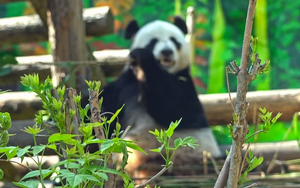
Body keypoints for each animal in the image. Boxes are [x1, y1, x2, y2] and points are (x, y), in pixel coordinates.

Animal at [99, 16, 221, 176]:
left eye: (174, 40)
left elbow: (175, 108)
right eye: (153, 42)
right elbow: (107, 112)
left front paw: (143, 56)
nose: (167, 51)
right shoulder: (123, 87)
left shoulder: (185, 83)